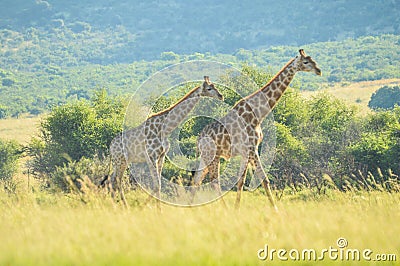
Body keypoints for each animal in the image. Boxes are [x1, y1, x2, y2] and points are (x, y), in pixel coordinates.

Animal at [108, 76, 223, 208]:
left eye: (215, 86)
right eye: (209, 88)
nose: (221, 96)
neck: (165, 128)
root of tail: (111, 146)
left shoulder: (161, 156)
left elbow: (158, 185)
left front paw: (154, 207)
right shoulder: (152, 156)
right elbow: (157, 185)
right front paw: (152, 208)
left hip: (122, 161)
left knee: (113, 179)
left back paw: (118, 205)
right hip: (120, 160)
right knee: (116, 180)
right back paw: (121, 206)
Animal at [191, 48, 322, 209]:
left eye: (313, 59)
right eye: (306, 62)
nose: (319, 71)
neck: (258, 114)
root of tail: (198, 139)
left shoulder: (246, 151)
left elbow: (241, 182)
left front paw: (237, 209)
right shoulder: (252, 148)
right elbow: (264, 179)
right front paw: (275, 209)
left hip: (206, 156)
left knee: (197, 179)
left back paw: (190, 207)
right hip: (213, 156)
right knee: (213, 181)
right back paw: (223, 209)